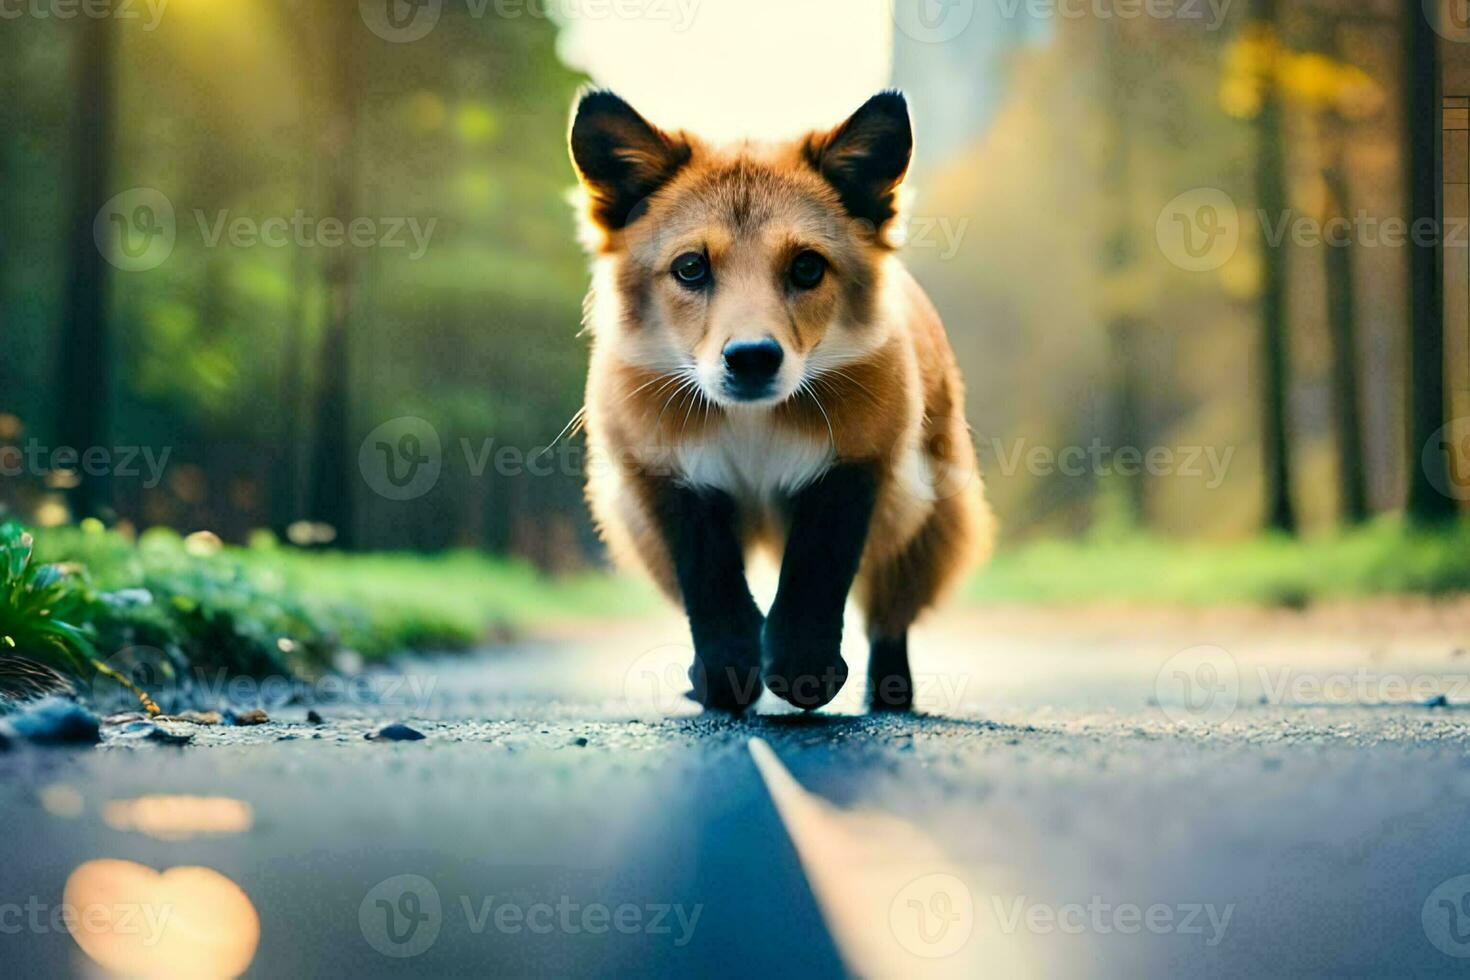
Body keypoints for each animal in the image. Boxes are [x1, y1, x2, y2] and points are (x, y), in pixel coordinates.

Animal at [567, 89, 993, 714]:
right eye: (691, 267)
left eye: (807, 266)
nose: (751, 357)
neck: (753, 431)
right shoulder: (667, 480)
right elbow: (713, 591)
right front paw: (725, 674)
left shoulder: (855, 466)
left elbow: (815, 577)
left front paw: (802, 670)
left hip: (923, 522)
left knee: (889, 621)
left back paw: (890, 692)